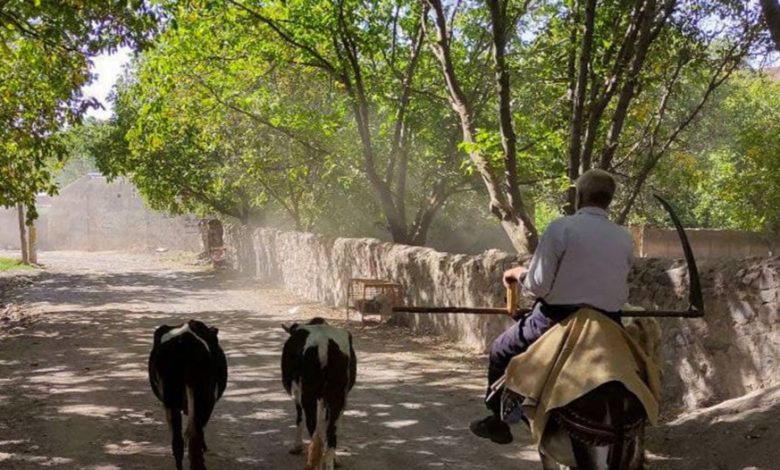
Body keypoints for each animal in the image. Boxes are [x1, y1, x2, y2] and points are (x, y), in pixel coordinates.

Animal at [282, 316, 358, 470]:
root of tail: (324, 343)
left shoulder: (297, 391)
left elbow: (300, 417)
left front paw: (297, 446)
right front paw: (336, 459)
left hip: (308, 393)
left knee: (313, 427)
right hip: (337, 395)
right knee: (331, 431)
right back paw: (329, 462)